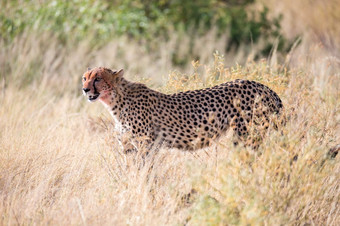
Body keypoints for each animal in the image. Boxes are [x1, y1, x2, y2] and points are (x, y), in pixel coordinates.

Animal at [83, 67, 284, 152]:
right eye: (85, 78)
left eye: (98, 78)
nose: (84, 89)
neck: (115, 102)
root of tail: (263, 86)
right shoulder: (129, 147)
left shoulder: (145, 145)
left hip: (247, 135)